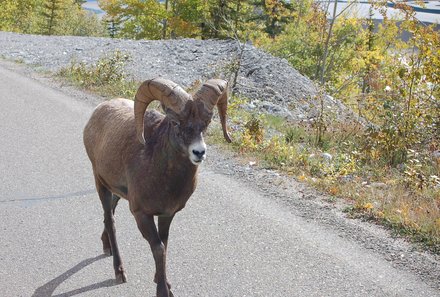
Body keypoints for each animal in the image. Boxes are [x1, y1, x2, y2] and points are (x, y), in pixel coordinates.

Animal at [84, 77, 232, 294]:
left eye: (206, 123)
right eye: (175, 122)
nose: (199, 152)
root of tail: (97, 112)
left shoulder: (167, 215)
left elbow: (165, 245)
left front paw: (163, 282)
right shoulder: (141, 214)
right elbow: (158, 248)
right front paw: (163, 290)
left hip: (118, 192)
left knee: (110, 213)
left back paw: (106, 246)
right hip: (100, 183)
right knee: (110, 220)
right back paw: (119, 271)